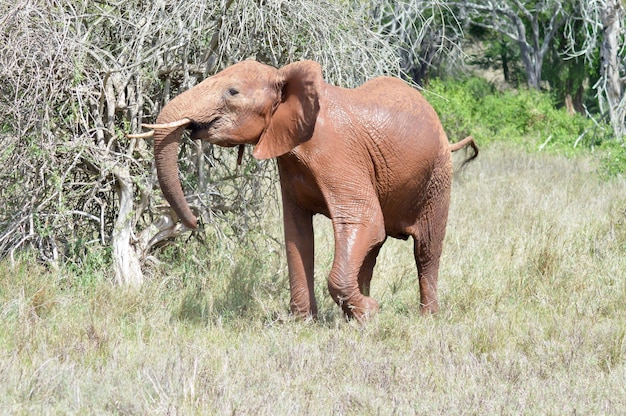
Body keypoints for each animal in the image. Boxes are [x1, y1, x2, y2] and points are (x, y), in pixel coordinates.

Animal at [134, 59, 476, 322]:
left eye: (232, 92)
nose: (193, 222)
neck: (282, 76)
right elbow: (298, 235)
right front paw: (304, 322)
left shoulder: (337, 152)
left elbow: (363, 221)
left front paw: (371, 313)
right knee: (374, 248)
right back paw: (352, 315)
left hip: (438, 176)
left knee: (426, 249)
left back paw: (426, 318)